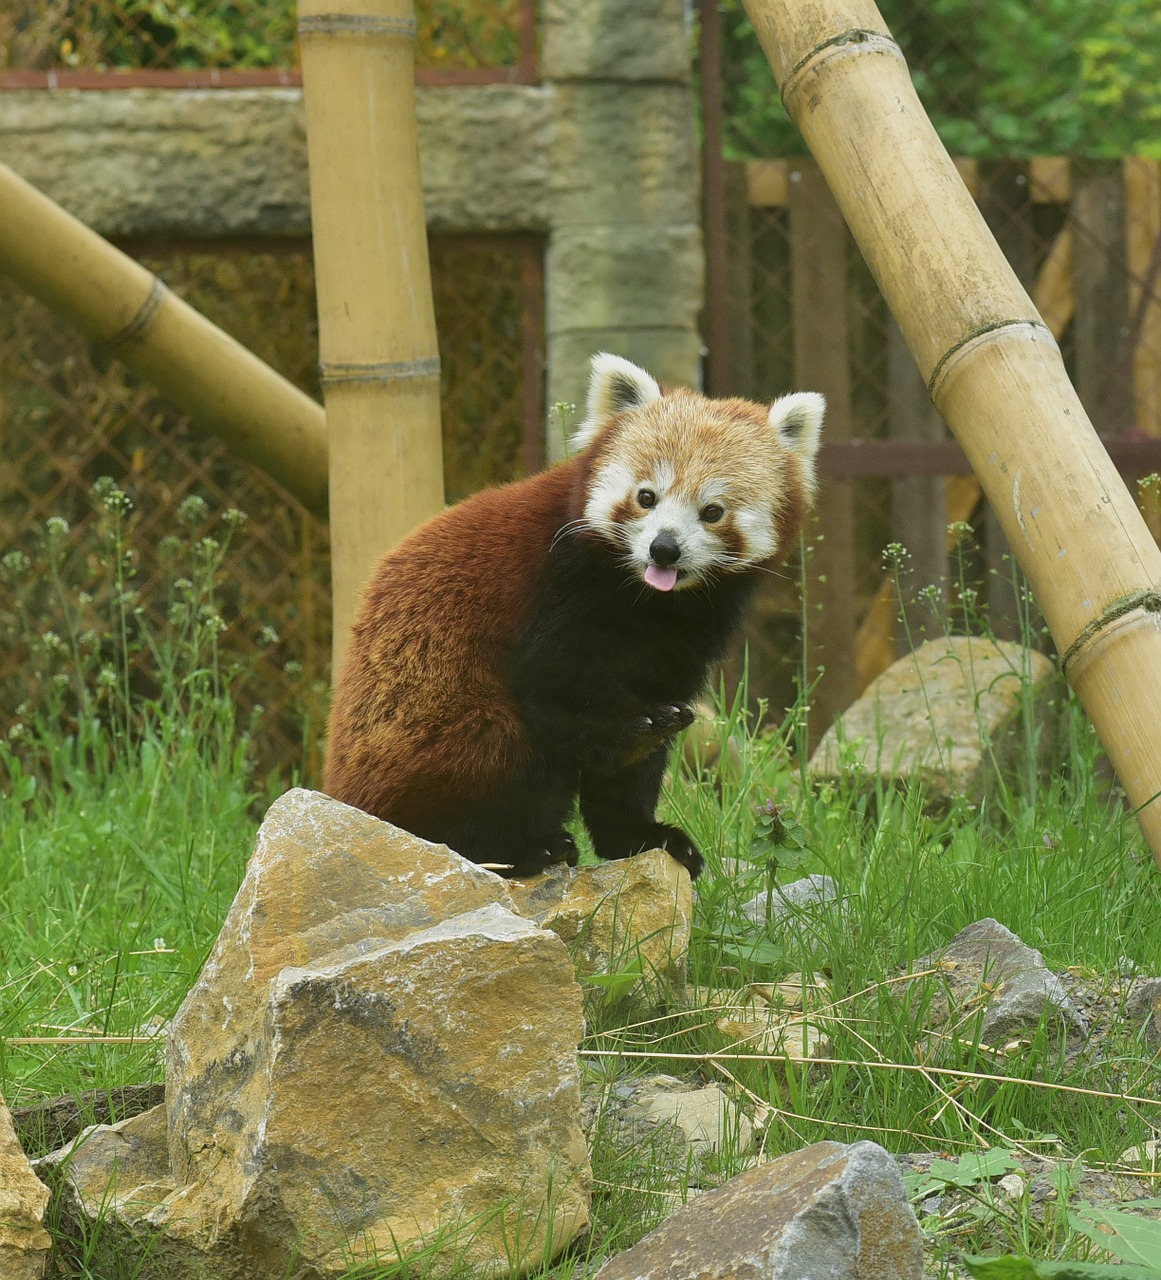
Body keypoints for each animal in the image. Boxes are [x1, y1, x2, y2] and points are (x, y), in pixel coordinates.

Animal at [322, 353, 819, 880]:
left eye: (712, 511)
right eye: (647, 496)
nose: (664, 549)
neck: (648, 601)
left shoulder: (686, 635)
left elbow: (636, 759)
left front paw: (639, 835)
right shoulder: (558, 590)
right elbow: (555, 688)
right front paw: (631, 733)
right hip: (428, 725)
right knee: (491, 748)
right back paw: (518, 849)